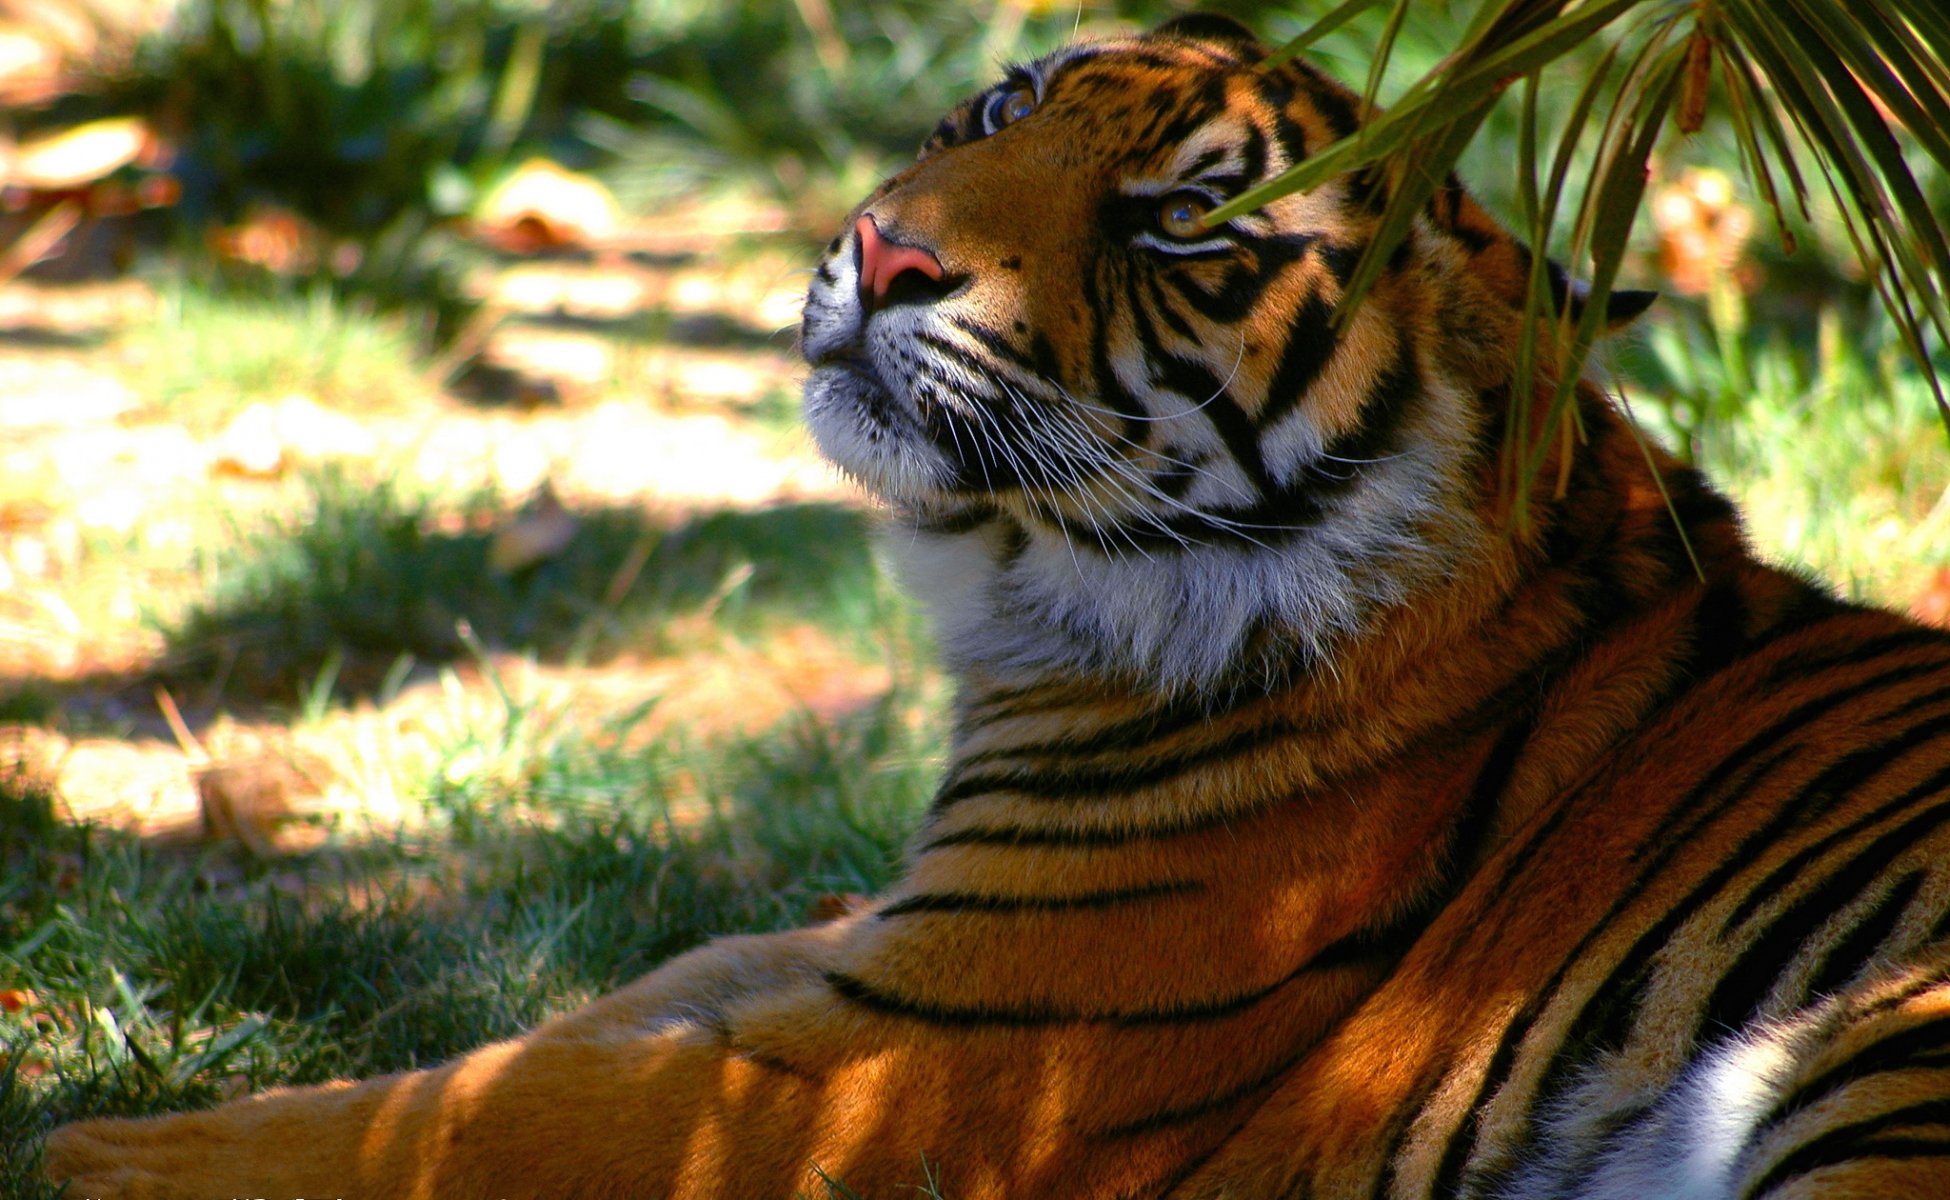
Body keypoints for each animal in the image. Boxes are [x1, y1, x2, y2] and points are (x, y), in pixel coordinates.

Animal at [46, 13, 1950, 1199]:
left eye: (1185, 226)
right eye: (994, 111)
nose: (887, 249)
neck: (1040, 602)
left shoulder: (921, 1060)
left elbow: (456, 1126)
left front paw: (83, 1152)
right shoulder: (870, 952)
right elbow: (539, 1038)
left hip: (1876, 1067)